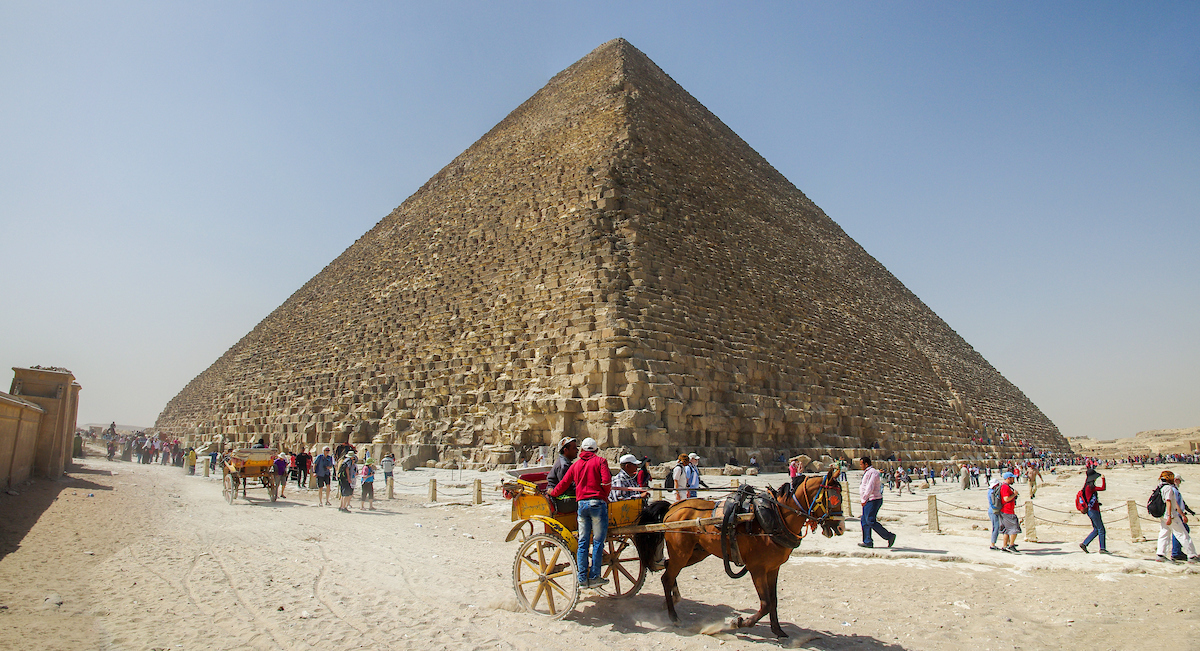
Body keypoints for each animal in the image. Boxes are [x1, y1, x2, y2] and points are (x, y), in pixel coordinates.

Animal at [638, 466, 844, 638]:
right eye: (834, 498)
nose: (841, 527)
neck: (775, 517)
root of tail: (673, 507)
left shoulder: (773, 568)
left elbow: (774, 600)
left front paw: (777, 629)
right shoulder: (757, 568)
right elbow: (765, 603)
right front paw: (739, 622)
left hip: (695, 553)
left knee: (666, 569)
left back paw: (672, 601)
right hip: (682, 552)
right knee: (667, 577)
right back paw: (673, 616)